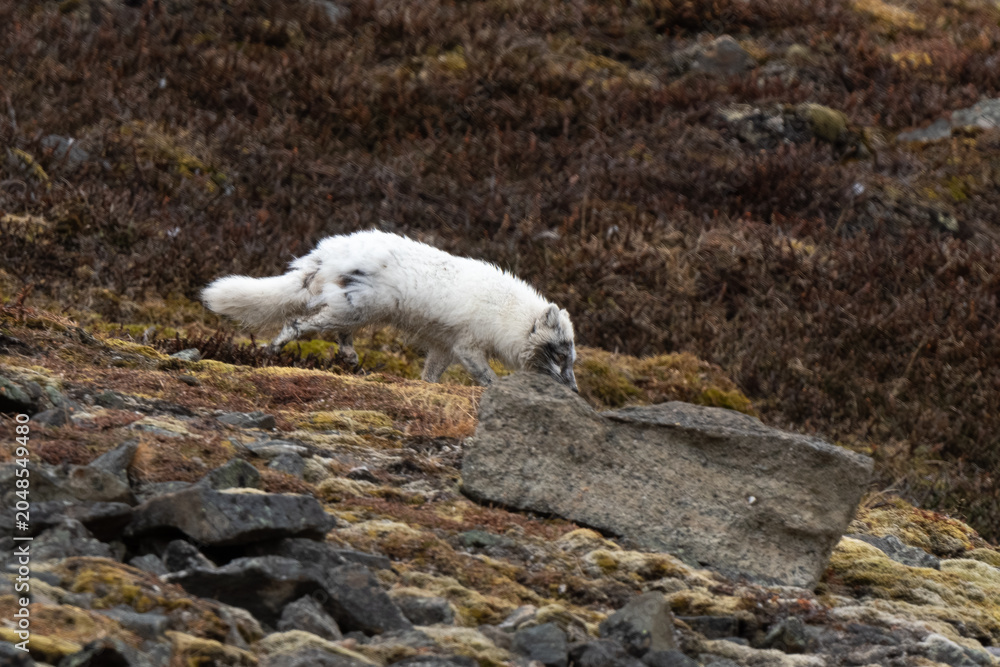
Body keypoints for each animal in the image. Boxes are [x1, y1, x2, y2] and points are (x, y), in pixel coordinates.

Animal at [201, 229, 578, 390]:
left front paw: (427, 387)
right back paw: (271, 351)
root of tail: (324, 256)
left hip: (353, 311)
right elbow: (486, 377)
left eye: (572, 359)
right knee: (297, 323)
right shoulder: (467, 346)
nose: (574, 391)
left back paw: (351, 359)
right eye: (560, 355)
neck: (508, 313)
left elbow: (431, 375)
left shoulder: (444, 347)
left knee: (339, 334)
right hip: (355, 308)